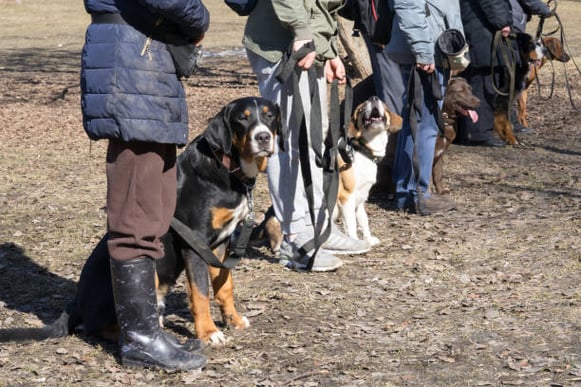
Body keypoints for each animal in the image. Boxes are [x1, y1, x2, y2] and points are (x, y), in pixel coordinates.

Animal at [0, 97, 284, 346]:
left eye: (270, 116)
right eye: (242, 119)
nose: (263, 137)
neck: (228, 169)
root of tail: (76, 303)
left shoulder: (220, 243)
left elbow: (224, 285)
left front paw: (233, 320)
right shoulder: (195, 244)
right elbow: (201, 293)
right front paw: (208, 332)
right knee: (102, 327)